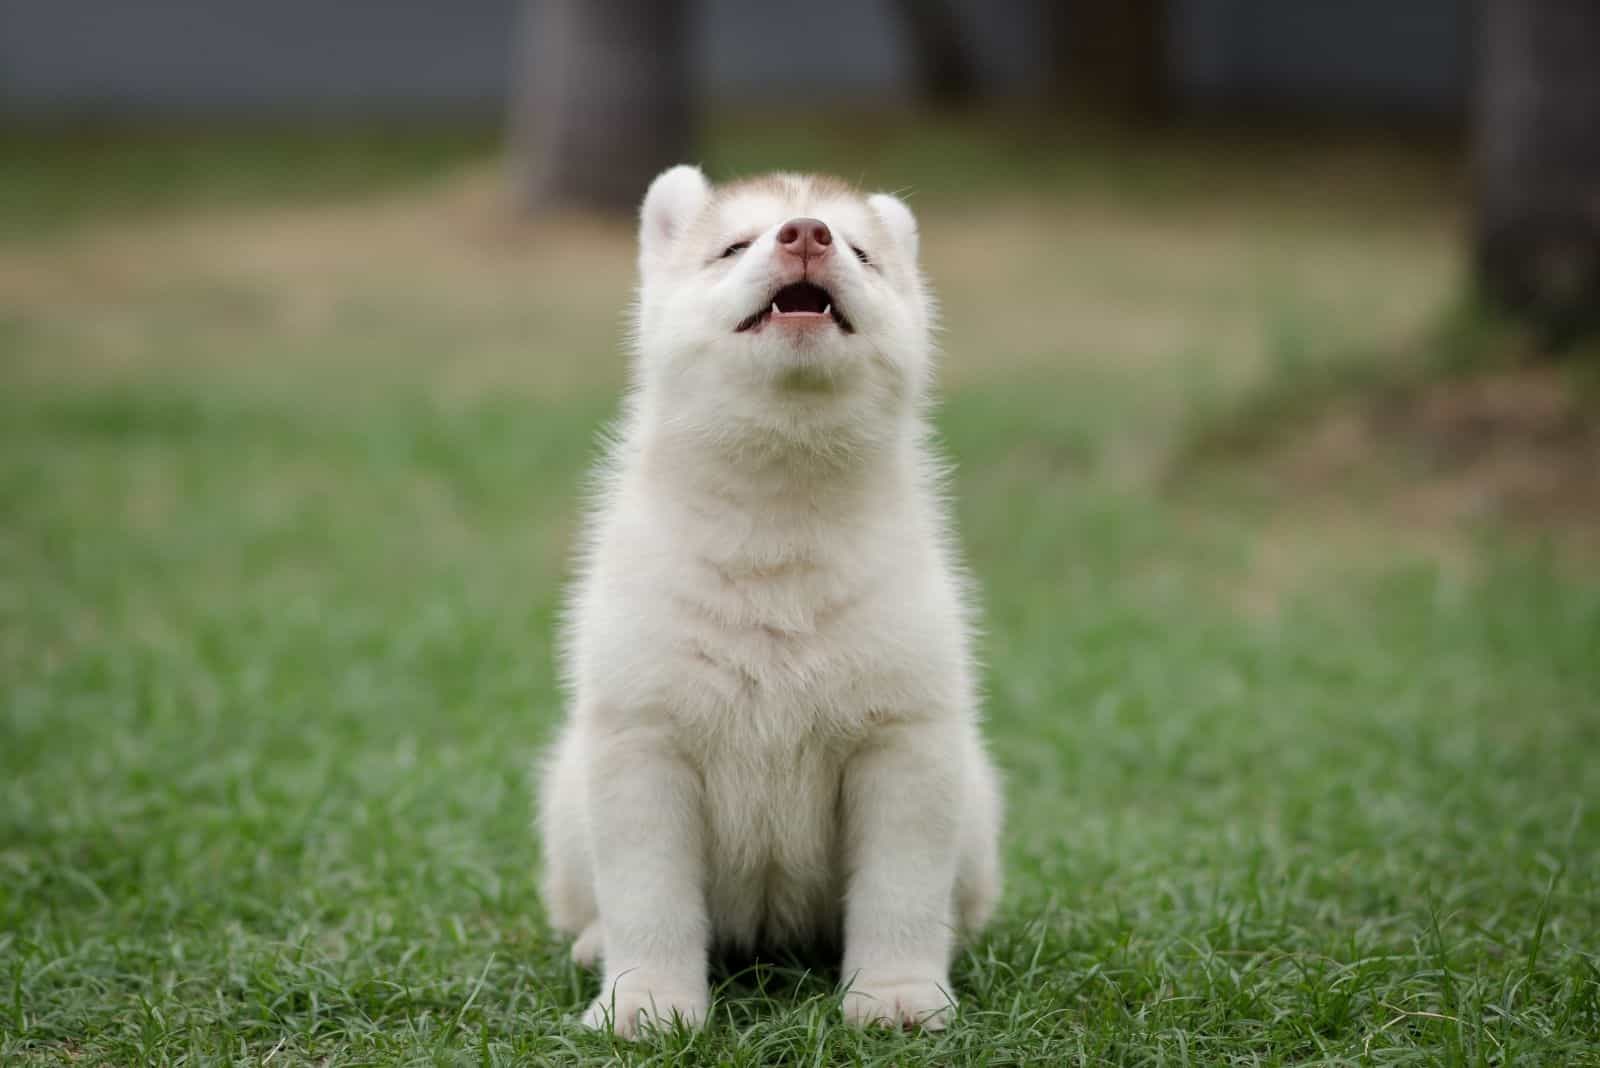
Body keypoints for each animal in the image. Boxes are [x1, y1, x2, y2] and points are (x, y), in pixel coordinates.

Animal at [544, 164, 1004, 1036]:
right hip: (565, 803)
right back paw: (592, 946)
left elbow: (900, 894)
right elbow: (648, 900)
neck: (778, 511)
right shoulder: (644, 741)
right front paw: (645, 1004)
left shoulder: (903, 742)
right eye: (732, 246)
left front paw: (896, 994)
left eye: (860, 249)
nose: (806, 235)